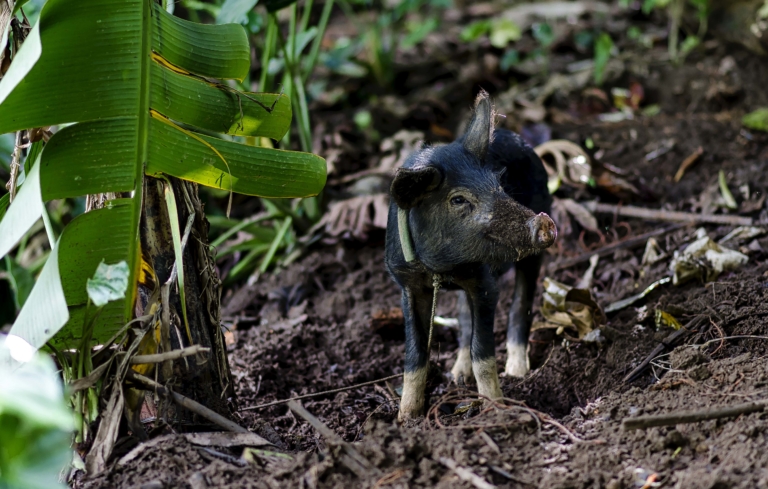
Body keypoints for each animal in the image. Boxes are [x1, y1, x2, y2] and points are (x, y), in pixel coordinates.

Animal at [385, 91, 556, 420]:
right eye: (458, 199)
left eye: (499, 186)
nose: (541, 223)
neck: (442, 267)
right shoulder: (407, 285)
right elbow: (414, 355)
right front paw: (405, 418)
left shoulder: (484, 282)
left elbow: (483, 350)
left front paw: (495, 409)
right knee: (464, 319)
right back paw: (456, 375)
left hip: (533, 251)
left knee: (521, 304)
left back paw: (517, 372)